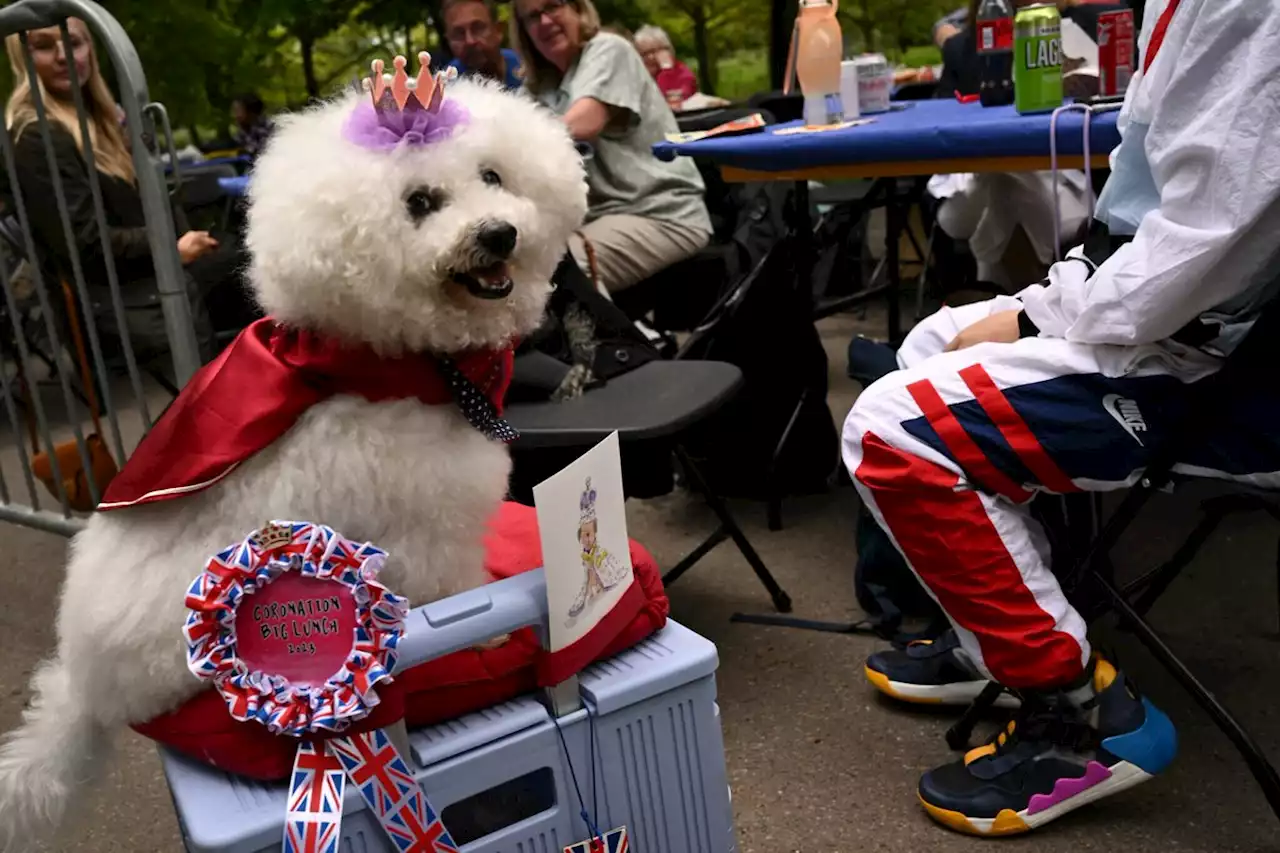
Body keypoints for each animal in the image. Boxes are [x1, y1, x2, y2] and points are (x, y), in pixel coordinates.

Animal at [0, 76, 586, 845]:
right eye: (419, 202)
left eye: (493, 176)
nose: (499, 234)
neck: (393, 365)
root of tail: (82, 679)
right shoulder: (426, 537)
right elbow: (456, 595)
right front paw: (489, 644)